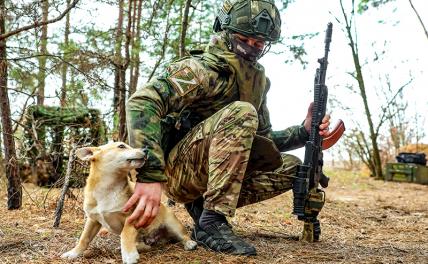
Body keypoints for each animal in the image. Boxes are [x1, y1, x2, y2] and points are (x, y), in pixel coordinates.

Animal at [60, 142, 197, 264]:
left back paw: (189, 243)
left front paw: (129, 255)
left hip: (173, 224)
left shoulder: (133, 216)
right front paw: (73, 253)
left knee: (184, 236)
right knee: (146, 246)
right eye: (121, 146)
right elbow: (84, 238)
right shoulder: (92, 220)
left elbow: (125, 233)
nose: (146, 150)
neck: (108, 189)